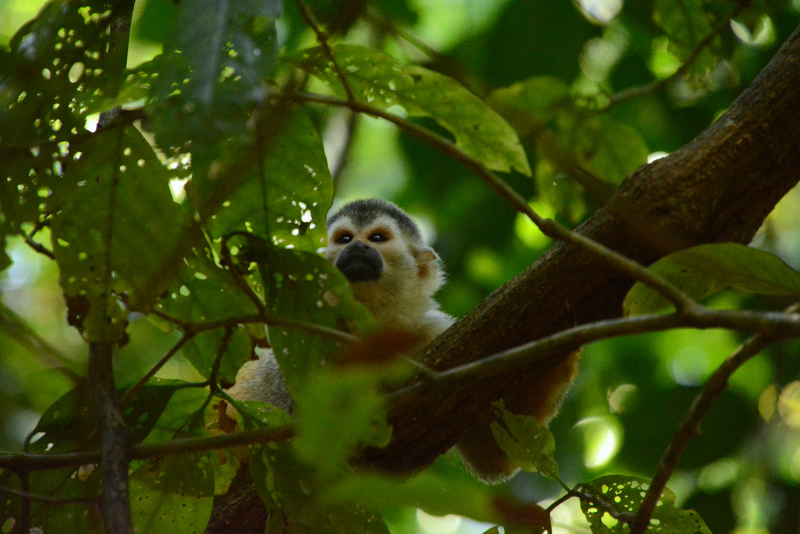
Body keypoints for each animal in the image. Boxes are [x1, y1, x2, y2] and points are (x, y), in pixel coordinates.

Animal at [225, 200, 576, 486]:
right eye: (344, 239)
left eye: (377, 238)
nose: (357, 248)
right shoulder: (299, 330)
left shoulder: (433, 332)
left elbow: (494, 456)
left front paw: (561, 338)